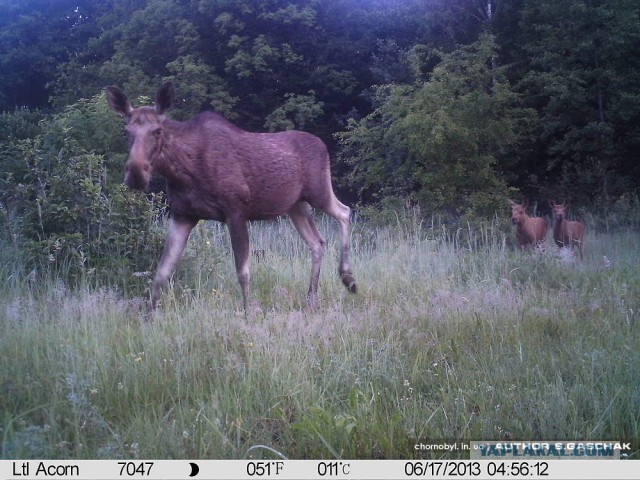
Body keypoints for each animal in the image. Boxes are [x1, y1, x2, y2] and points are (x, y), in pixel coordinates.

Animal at [105, 84, 356, 310]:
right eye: (126, 131)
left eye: (157, 130)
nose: (136, 173)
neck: (181, 171)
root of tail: (323, 145)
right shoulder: (182, 215)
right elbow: (162, 272)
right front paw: (149, 316)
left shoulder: (236, 211)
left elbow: (243, 272)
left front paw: (248, 313)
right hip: (296, 206)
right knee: (317, 242)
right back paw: (312, 299)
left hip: (319, 191)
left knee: (345, 212)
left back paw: (348, 279)